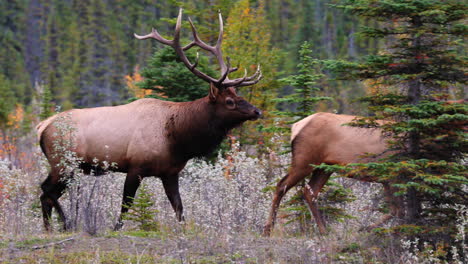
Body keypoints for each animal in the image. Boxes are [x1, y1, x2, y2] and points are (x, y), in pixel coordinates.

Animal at [35, 8, 264, 231]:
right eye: (229, 101)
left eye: (238, 95)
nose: (257, 112)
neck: (178, 139)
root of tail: (42, 126)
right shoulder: (135, 167)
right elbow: (126, 204)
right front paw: (115, 228)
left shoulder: (170, 172)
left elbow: (179, 209)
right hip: (63, 162)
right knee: (46, 190)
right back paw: (66, 223)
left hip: (66, 165)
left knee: (46, 194)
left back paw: (49, 228)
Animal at [262, 112, 404, 236]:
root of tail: (296, 126)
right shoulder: (393, 175)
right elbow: (398, 210)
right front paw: (368, 228)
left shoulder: (387, 179)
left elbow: (394, 210)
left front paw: (368, 228)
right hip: (305, 161)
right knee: (281, 185)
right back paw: (268, 229)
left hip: (324, 168)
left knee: (310, 191)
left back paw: (323, 231)